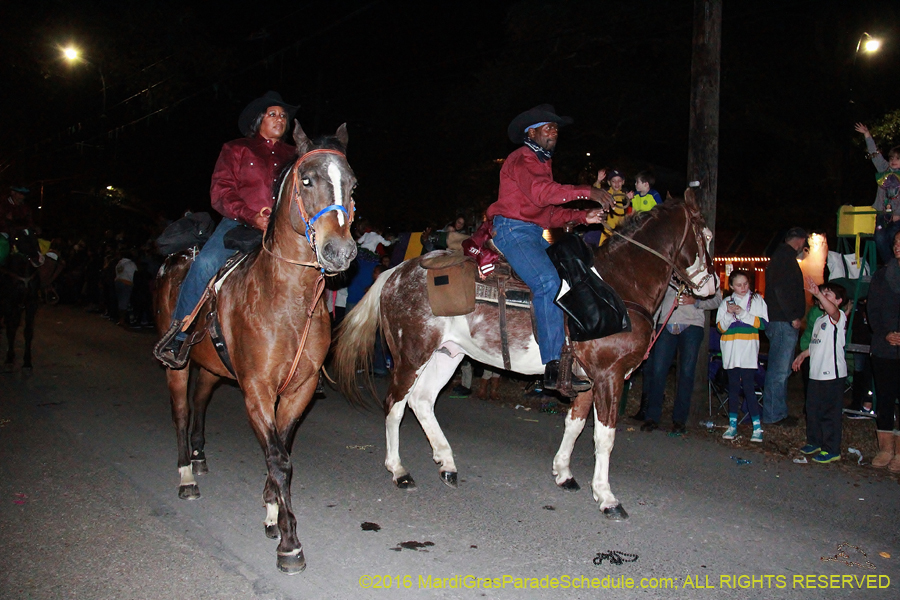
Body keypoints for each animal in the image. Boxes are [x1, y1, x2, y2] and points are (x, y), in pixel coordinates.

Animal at [155, 120, 356, 572]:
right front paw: (289, 543)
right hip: (177, 367)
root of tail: (177, 257)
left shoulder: (298, 391)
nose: (339, 252)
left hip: (211, 368)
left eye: (352, 184)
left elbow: (280, 450)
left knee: (199, 403)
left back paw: (199, 458)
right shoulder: (257, 390)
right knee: (181, 413)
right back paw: (186, 475)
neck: (286, 300)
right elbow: (279, 459)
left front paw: (271, 513)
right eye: (306, 179)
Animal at [330, 193, 716, 520]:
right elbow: (604, 438)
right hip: (411, 354)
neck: (618, 286)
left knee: (422, 402)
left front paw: (563, 473)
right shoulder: (609, 376)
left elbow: (575, 425)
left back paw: (447, 462)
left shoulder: (588, 380)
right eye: (708, 237)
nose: (712, 287)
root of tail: (394, 273)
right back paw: (399, 470)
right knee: (395, 405)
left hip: (447, 354)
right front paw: (607, 498)